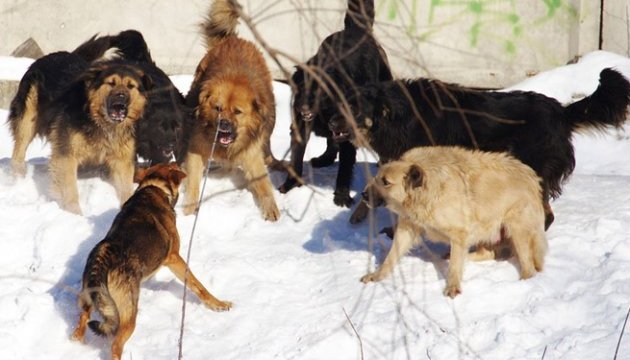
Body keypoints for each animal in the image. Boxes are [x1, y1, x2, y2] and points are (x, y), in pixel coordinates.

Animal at [71, 163, 232, 360]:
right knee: (116, 344)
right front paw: (219, 304)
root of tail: (103, 254)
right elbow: (198, 285)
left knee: (82, 320)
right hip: (129, 311)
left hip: (91, 299)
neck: (154, 186)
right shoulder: (174, 258)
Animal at [183, 0, 282, 221]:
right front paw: (189, 209)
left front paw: (270, 207)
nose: (224, 124)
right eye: (218, 108)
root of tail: (232, 39)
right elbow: (193, 181)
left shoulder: (252, 154)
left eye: (237, 112)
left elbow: (264, 186)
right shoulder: (196, 146)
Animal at [278, 0, 392, 208]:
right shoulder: (301, 126)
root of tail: (356, 30)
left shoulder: (347, 131)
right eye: (301, 89)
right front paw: (290, 184)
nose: (302, 108)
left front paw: (341, 196)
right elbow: (297, 157)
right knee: (331, 142)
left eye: (317, 92)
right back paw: (324, 159)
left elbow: (345, 167)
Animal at [330, 69, 630, 228]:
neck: (397, 116)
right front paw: (358, 213)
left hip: (533, 166)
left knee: (546, 213)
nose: (331, 122)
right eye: (341, 103)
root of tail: (562, 112)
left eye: (354, 109)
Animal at [362, 146, 552, 298]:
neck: (427, 190)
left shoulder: (459, 234)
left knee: (528, 266)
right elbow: (390, 257)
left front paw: (453, 288)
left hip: (517, 231)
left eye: (385, 182)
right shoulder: (407, 229)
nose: (363, 195)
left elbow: (454, 267)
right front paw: (376, 276)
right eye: (377, 178)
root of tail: (532, 178)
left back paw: (525, 282)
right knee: (488, 254)